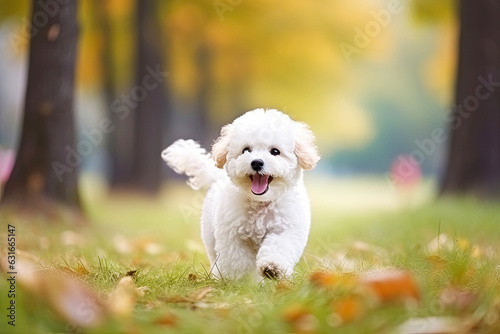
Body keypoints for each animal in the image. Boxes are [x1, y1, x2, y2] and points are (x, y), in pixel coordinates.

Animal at [162, 109, 318, 280]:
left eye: (275, 151)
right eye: (246, 150)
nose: (257, 162)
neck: (260, 202)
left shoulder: (286, 228)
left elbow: (279, 246)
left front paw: (272, 267)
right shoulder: (231, 235)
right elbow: (238, 260)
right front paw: (241, 280)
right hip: (210, 236)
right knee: (215, 256)